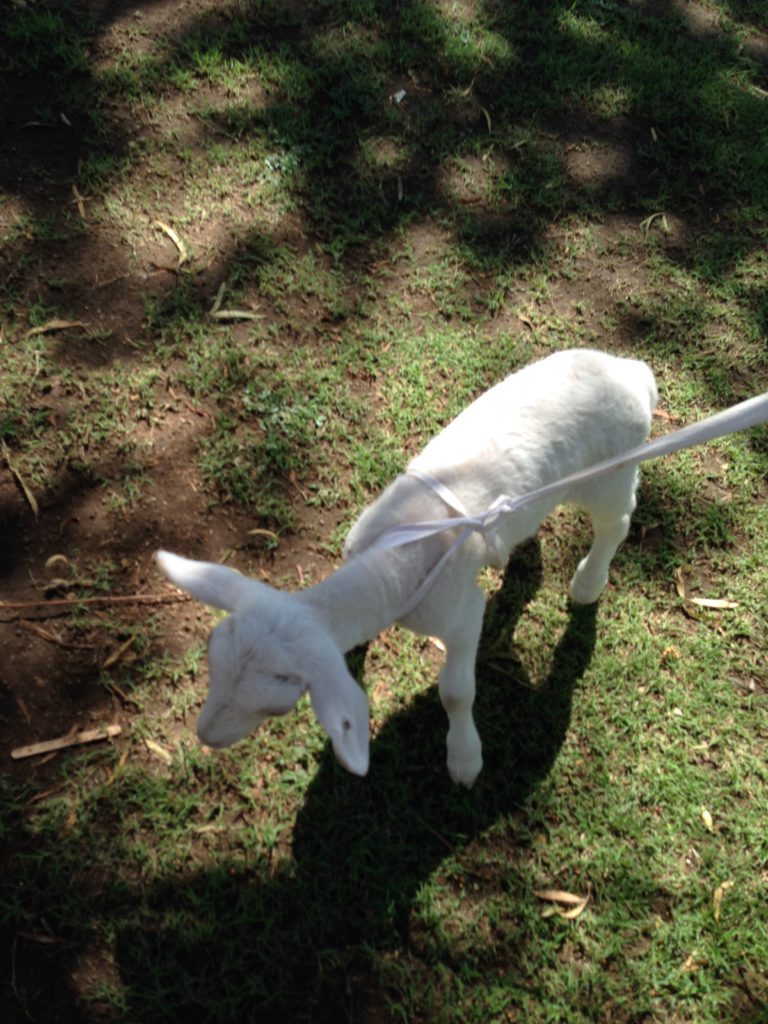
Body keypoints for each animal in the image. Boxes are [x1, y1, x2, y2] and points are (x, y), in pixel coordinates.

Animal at [157, 348, 657, 787]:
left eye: (276, 706)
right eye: (212, 662)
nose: (205, 735)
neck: (388, 564)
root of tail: (632, 373)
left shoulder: (459, 613)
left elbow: (455, 691)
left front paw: (464, 758)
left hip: (612, 471)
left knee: (617, 521)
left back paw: (588, 583)